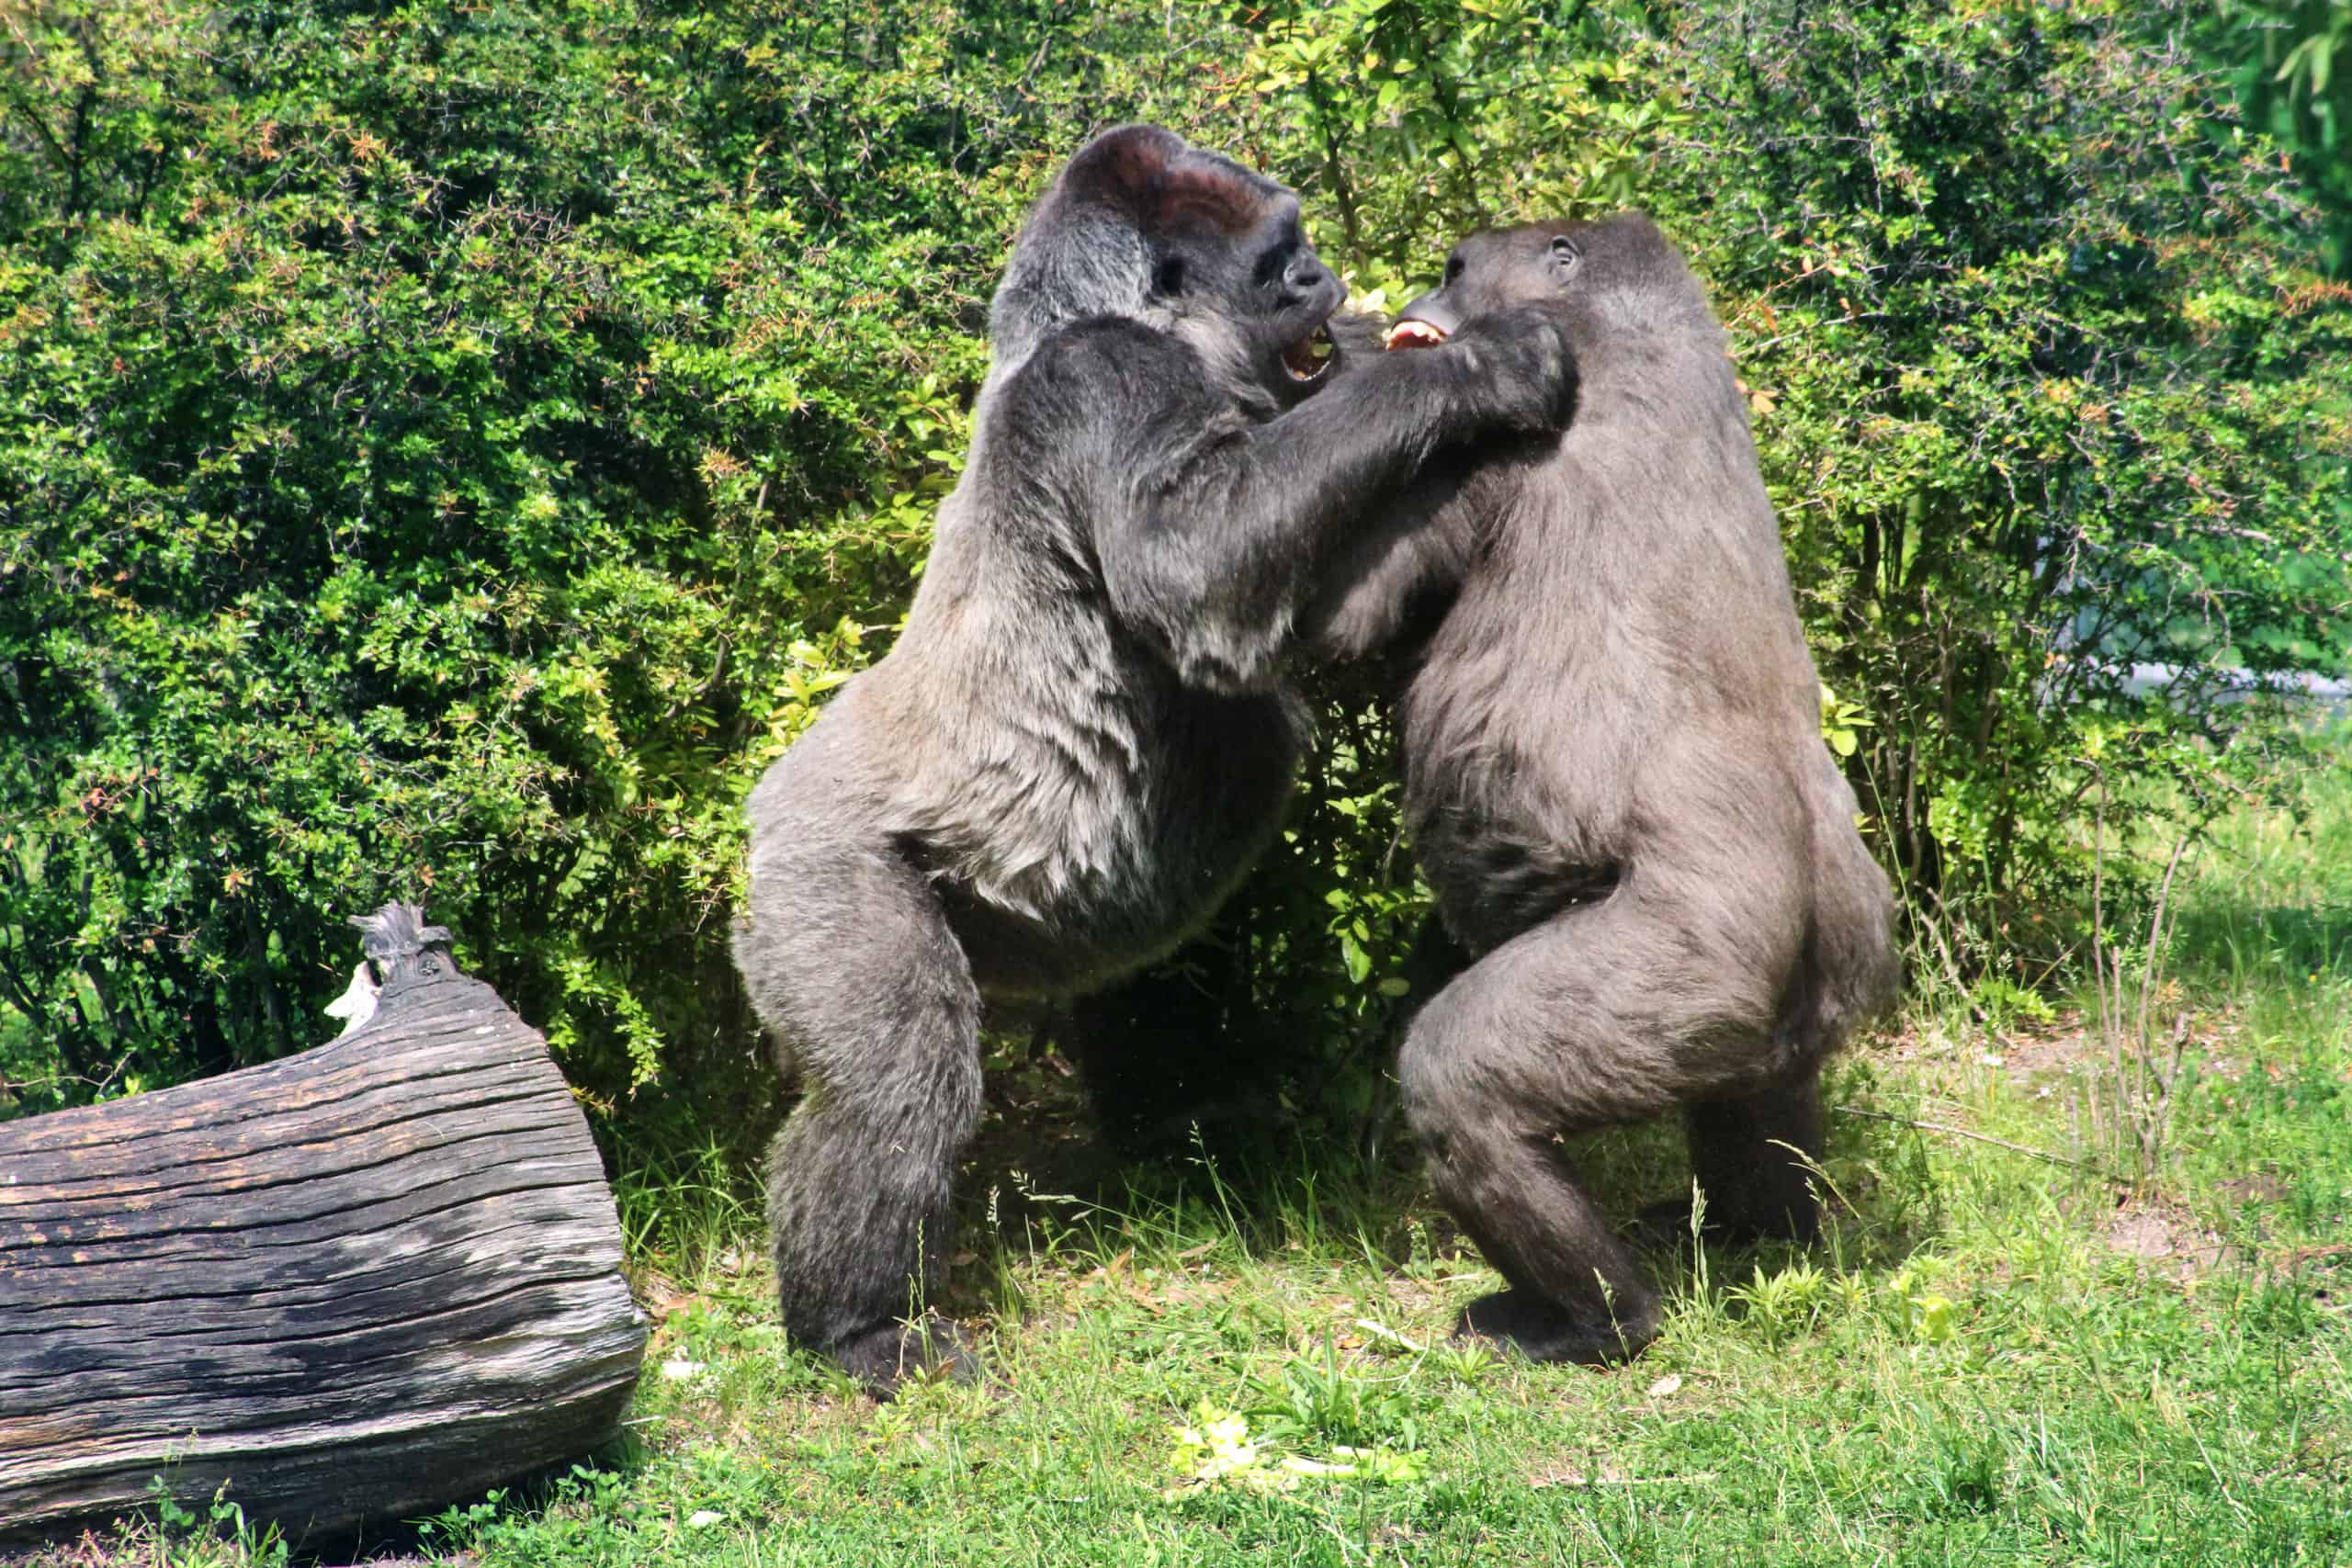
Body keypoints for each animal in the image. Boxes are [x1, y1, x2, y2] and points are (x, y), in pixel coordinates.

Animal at [730, 126, 1578, 1392]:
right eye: (1277, 258)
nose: (1323, 276)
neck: (1094, 317)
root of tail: (757, 815)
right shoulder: (1108, 379)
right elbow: (1201, 562)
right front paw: (1473, 372)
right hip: (817, 872)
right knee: (890, 1084)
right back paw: (856, 1325)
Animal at [1305, 213, 1901, 1367]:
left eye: (1457, 268)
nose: (1425, 299)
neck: (1631, 330)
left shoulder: (1484, 443)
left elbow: (1326, 618)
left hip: (1687, 964)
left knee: (1464, 1090)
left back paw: (1596, 1318)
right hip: (1818, 981)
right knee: (1758, 1100)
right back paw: (1760, 1230)